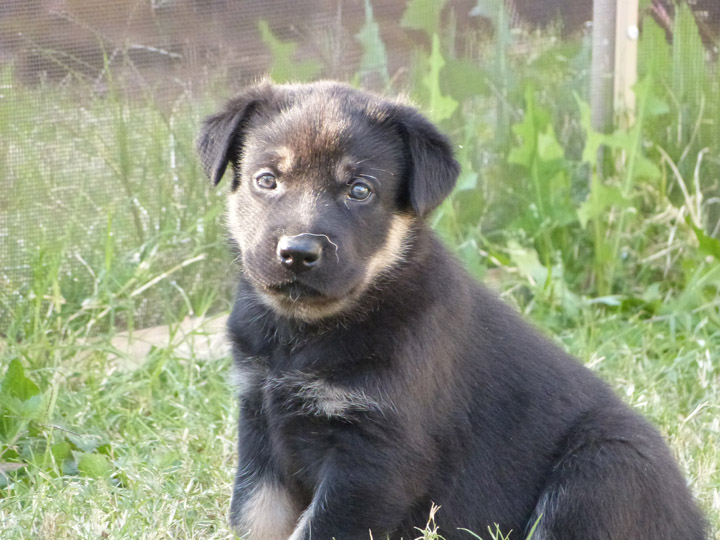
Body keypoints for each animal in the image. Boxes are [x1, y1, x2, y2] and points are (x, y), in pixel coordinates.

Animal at [195, 82, 704, 540]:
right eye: (266, 180)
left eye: (359, 190)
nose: (298, 253)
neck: (302, 333)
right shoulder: (259, 426)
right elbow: (254, 517)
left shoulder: (374, 457)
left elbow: (320, 528)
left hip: (604, 466)